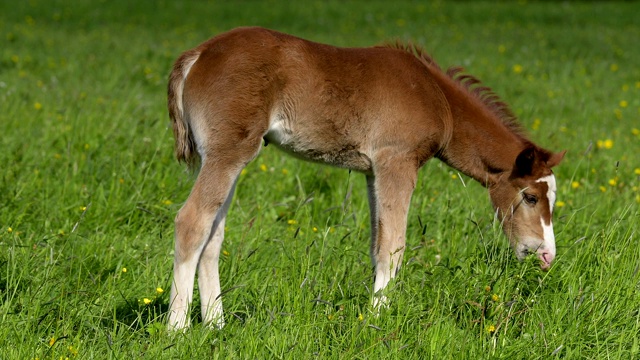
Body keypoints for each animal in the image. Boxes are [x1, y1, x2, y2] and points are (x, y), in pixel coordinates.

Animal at [165, 26, 564, 330]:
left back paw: (216, 324)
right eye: (530, 197)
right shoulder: (396, 162)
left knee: (213, 235)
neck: (437, 98)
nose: (546, 254)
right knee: (192, 222)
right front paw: (378, 319)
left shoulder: (373, 172)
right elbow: (394, 246)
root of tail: (198, 54)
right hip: (230, 152)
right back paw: (178, 328)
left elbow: (377, 244)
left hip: (225, 156)